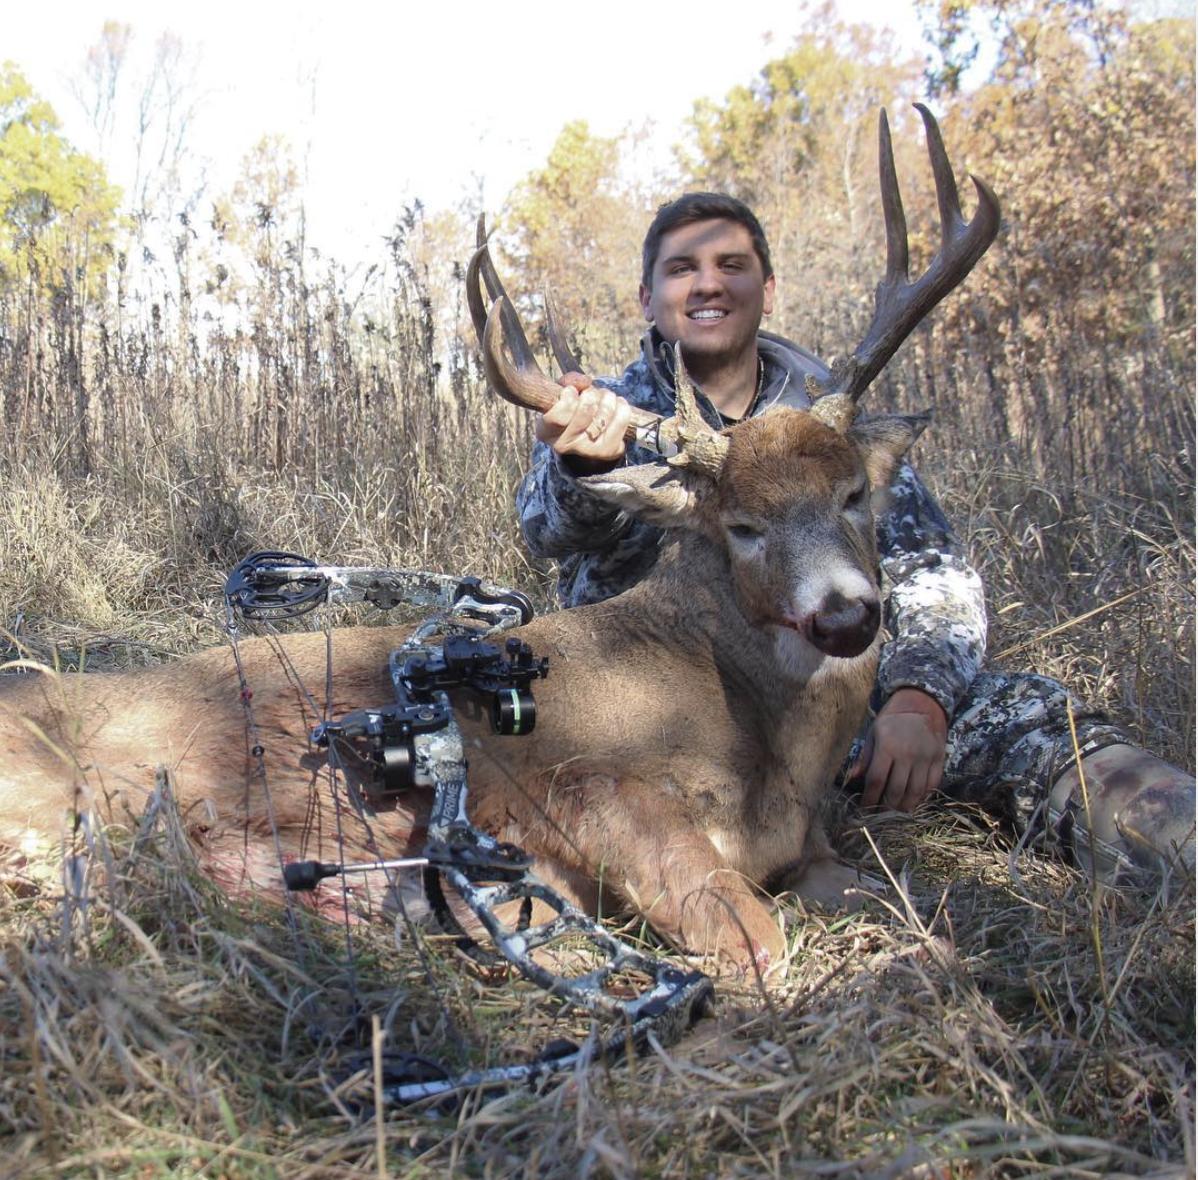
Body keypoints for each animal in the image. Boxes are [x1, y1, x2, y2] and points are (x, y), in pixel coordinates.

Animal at [0, 107, 998, 975]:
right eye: (741, 525)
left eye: (856, 493)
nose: (846, 614)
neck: (766, 747)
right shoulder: (580, 786)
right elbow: (759, 938)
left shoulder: (815, 847)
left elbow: (903, 898)